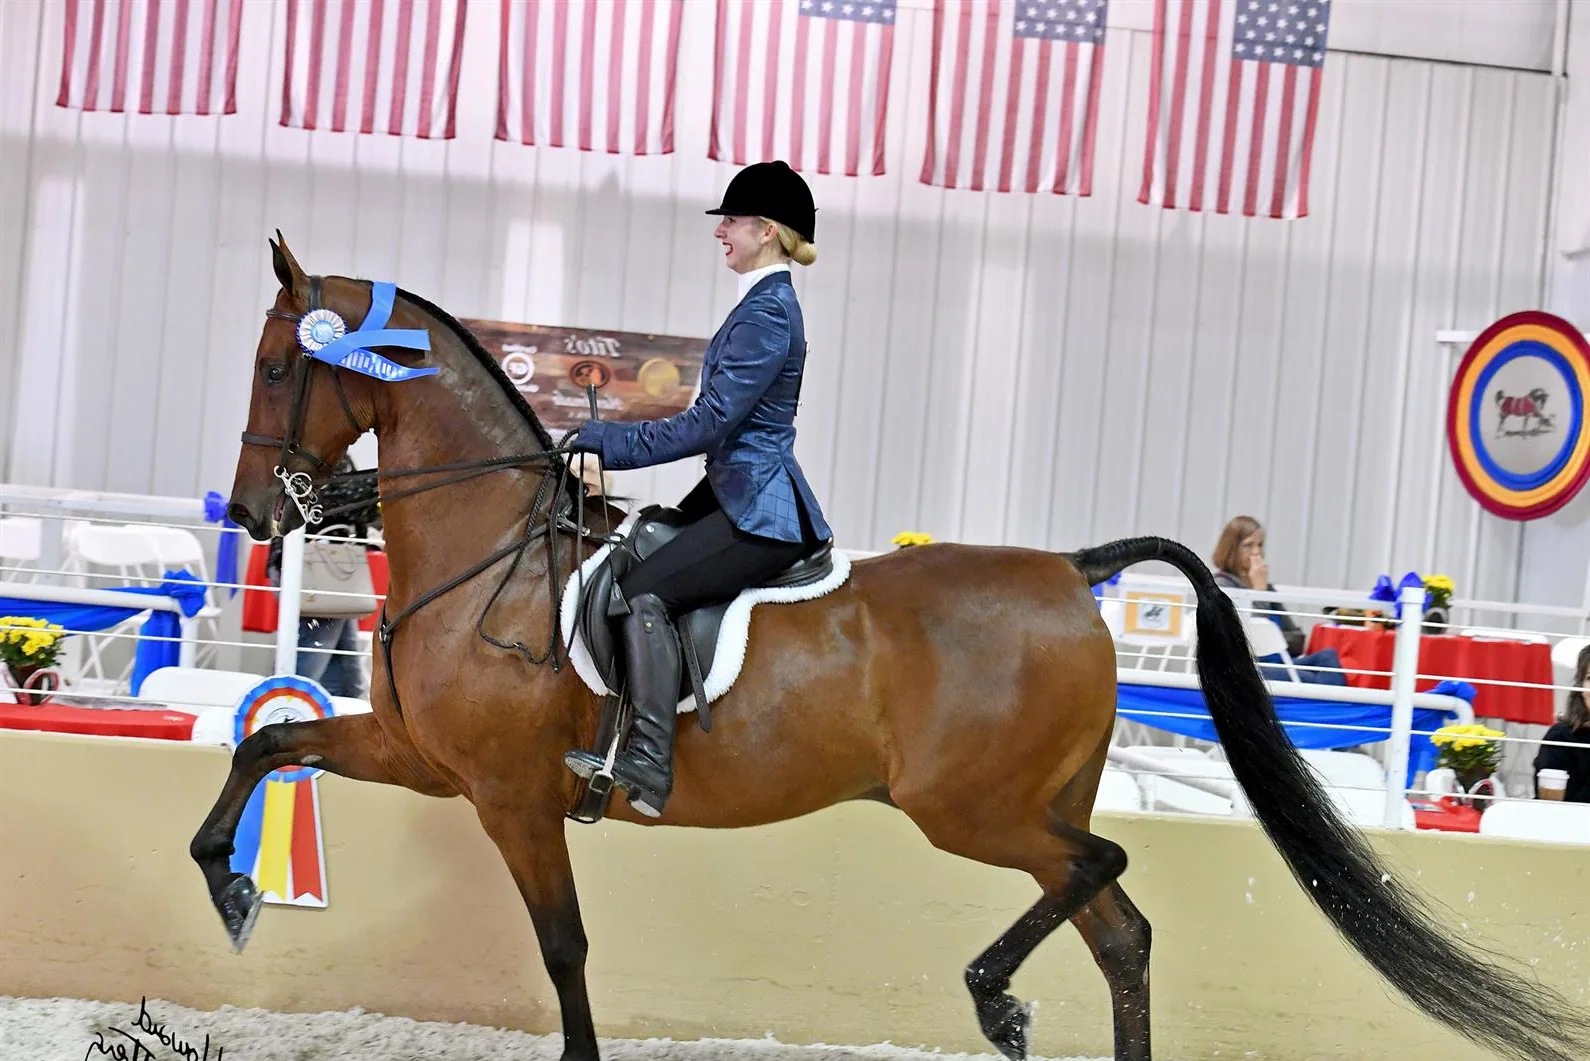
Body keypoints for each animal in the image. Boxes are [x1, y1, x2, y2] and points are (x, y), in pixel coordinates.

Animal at [191, 234, 1590, 1061]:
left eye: (277, 366)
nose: (257, 515)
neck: (493, 547)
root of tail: (1071, 571)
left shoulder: (510, 793)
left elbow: (564, 950)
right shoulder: (428, 759)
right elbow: (272, 737)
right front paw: (232, 887)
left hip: (973, 807)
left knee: (1104, 871)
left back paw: (992, 990)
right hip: (1024, 801)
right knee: (1122, 924)